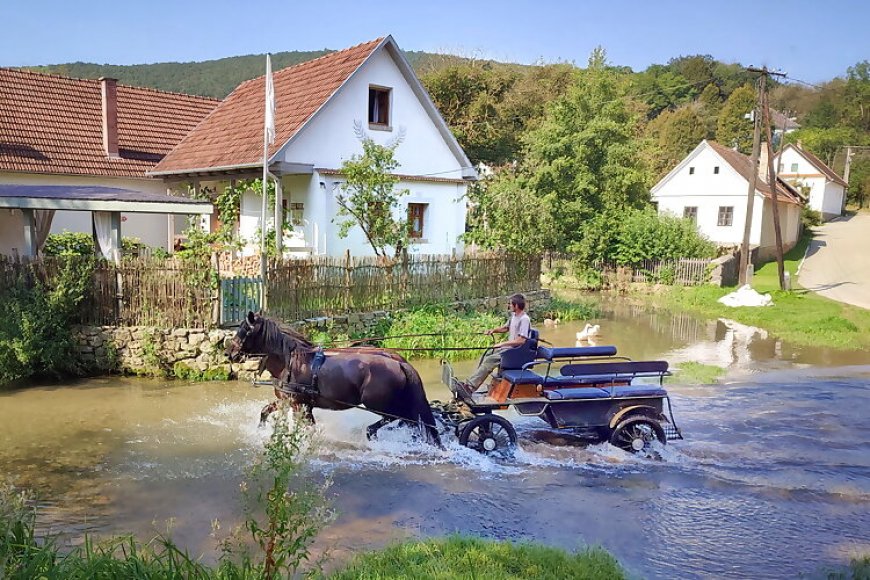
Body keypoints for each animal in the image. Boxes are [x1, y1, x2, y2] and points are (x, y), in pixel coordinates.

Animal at [225, 310, 442, 446]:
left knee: (397, 418)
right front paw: (261, 431)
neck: (290, 361)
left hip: (378, 403)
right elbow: (265, 411)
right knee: (410, 421)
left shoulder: (299, 404)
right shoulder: (290, 401)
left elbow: (307, 429)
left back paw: (371, 433)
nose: (229, 353)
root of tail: (400, 363)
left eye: (245, 330)